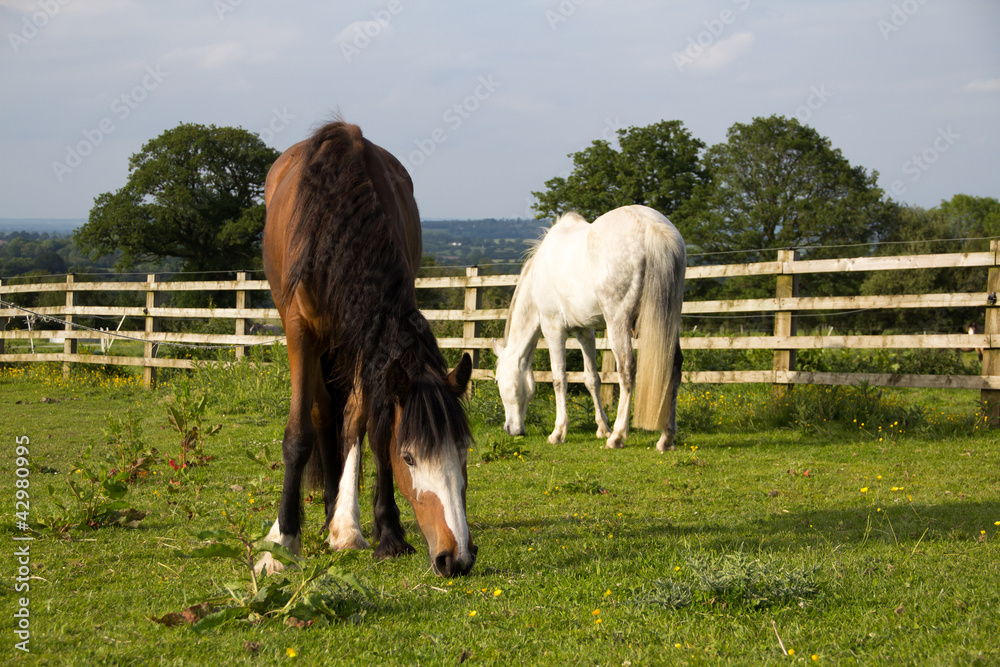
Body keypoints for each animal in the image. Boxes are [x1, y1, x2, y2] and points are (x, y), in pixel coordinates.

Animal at [255, 120, 477, 578]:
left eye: (462, 451)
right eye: (409, 458)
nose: (457, 557)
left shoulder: (369, 338)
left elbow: (373, 427)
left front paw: (383, 532)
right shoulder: (300, 331)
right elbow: (298, 435)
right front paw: (282, 541)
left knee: (347, 418)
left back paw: (341, 518)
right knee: (321, 415)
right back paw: (324, 516)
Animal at [492, 205, 686, 451]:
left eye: (498, 381)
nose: (510, 430)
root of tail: (652, 226)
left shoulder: (553, 329)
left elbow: (559, 379)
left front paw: (558, 432)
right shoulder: (585, 331)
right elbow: (592, 379)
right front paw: (602, 428)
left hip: (618, 323)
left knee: (627, 370)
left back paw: (618, 437)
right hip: (671, 321)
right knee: (675, 367)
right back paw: (666, 437)